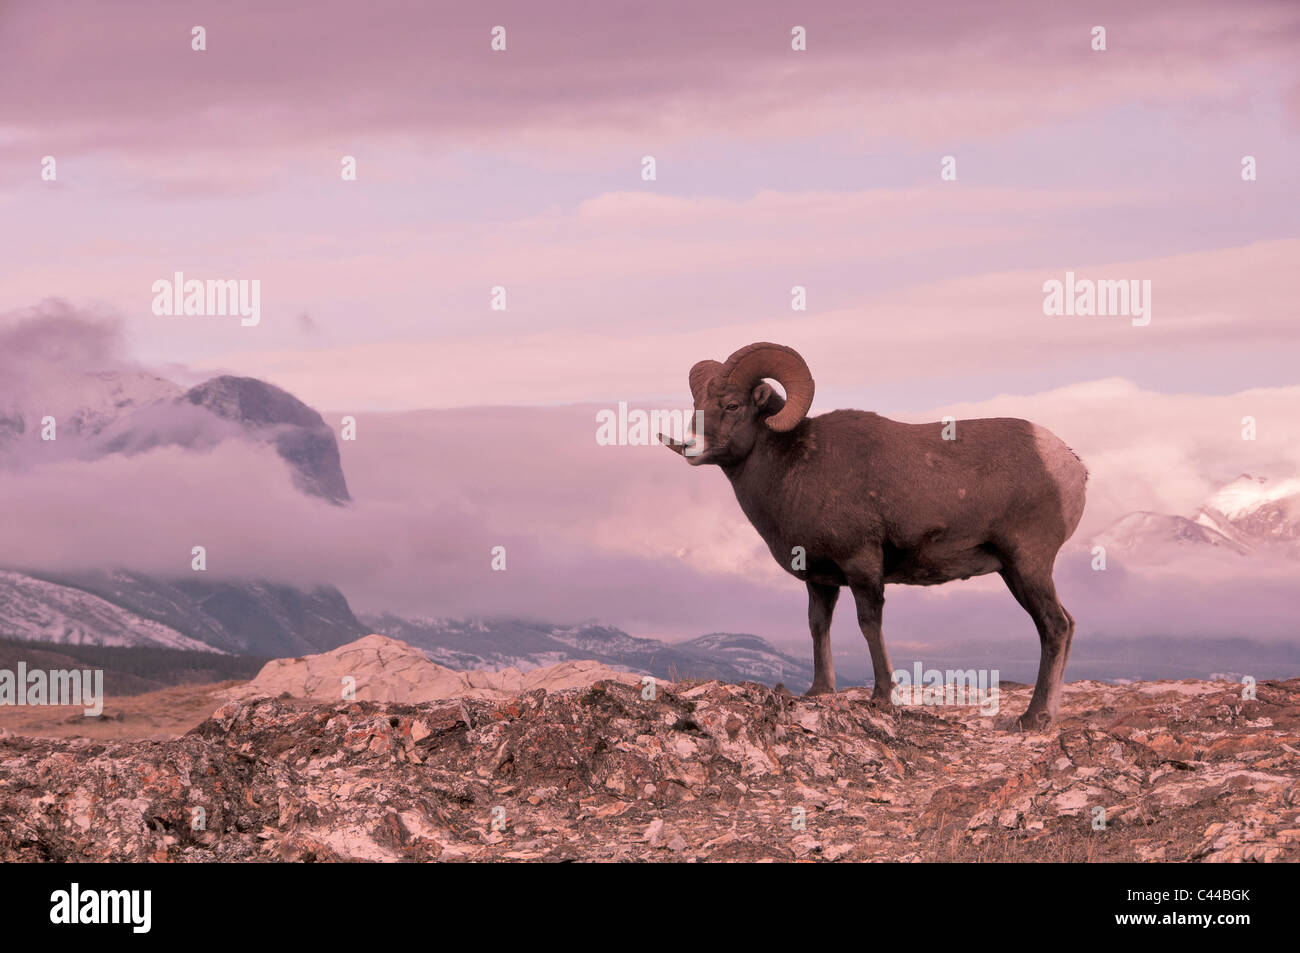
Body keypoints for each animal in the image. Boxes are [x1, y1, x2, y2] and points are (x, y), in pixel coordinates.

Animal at [660, 343, 1086, 728]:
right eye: (698, 403)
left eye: (732, 405)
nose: (690, 448)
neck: (795, 469)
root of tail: (1069, 464)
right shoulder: (820, 579)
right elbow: (818, 627)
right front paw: (819, 690)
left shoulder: (862, 565)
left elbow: (869, 624)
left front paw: (882, 697)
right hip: (1013, 572)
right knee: (1064, 624)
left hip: (1027, 564)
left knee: (1055, 626)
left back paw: (1034, 719)